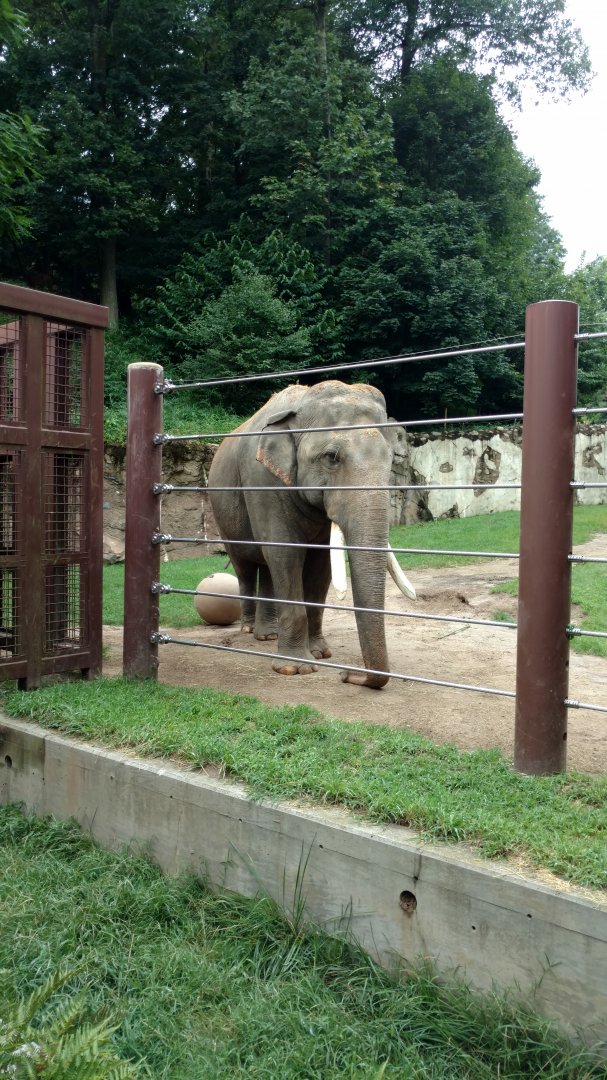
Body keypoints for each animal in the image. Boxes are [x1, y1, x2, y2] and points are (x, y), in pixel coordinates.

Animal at [207, 380, 415, 689]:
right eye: (332, 457)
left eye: (390, 460)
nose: (347, 675)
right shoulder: (263, 480)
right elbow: (285, 552)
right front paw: (294, 669)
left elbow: (321, 563)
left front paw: (321, 654)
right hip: (222, 514)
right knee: (246, 566)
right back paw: (248, 630)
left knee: (267, 569)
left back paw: (268, 635)